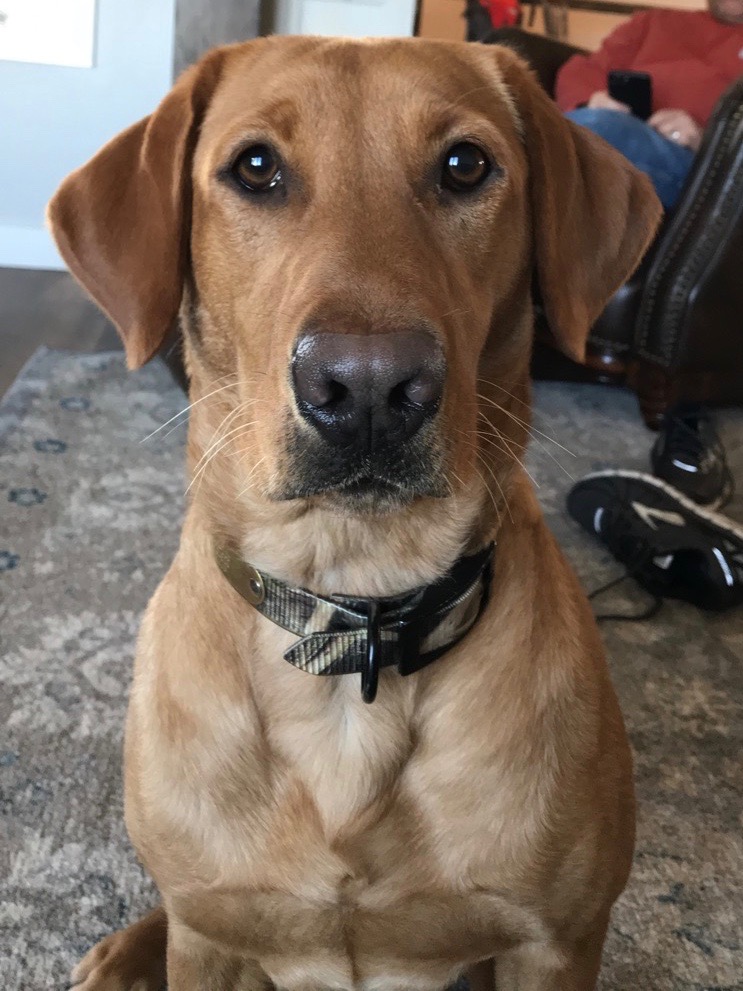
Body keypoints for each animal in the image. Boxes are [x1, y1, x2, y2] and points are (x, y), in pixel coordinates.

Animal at [48, 33, 664, 991]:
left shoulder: (557, 943)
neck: (353, 606)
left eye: (464, 165)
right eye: (255, 167)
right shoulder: (210, 941)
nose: (368, 387)